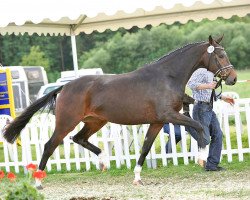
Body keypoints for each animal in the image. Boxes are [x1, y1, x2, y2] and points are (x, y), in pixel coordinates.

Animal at [3, 35, 236, 186]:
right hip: (66, 122)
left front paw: (137, 177)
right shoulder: (169, 116)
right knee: (50, 145)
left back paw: (104, 160)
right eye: (220, 56)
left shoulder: (158, 121)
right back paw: (38, 182)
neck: (167, 77)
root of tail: (65, 87)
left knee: (79, 138)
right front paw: (202, 157)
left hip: (95, 121)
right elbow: (200, 128)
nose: (232, 78)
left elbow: (145, 148)